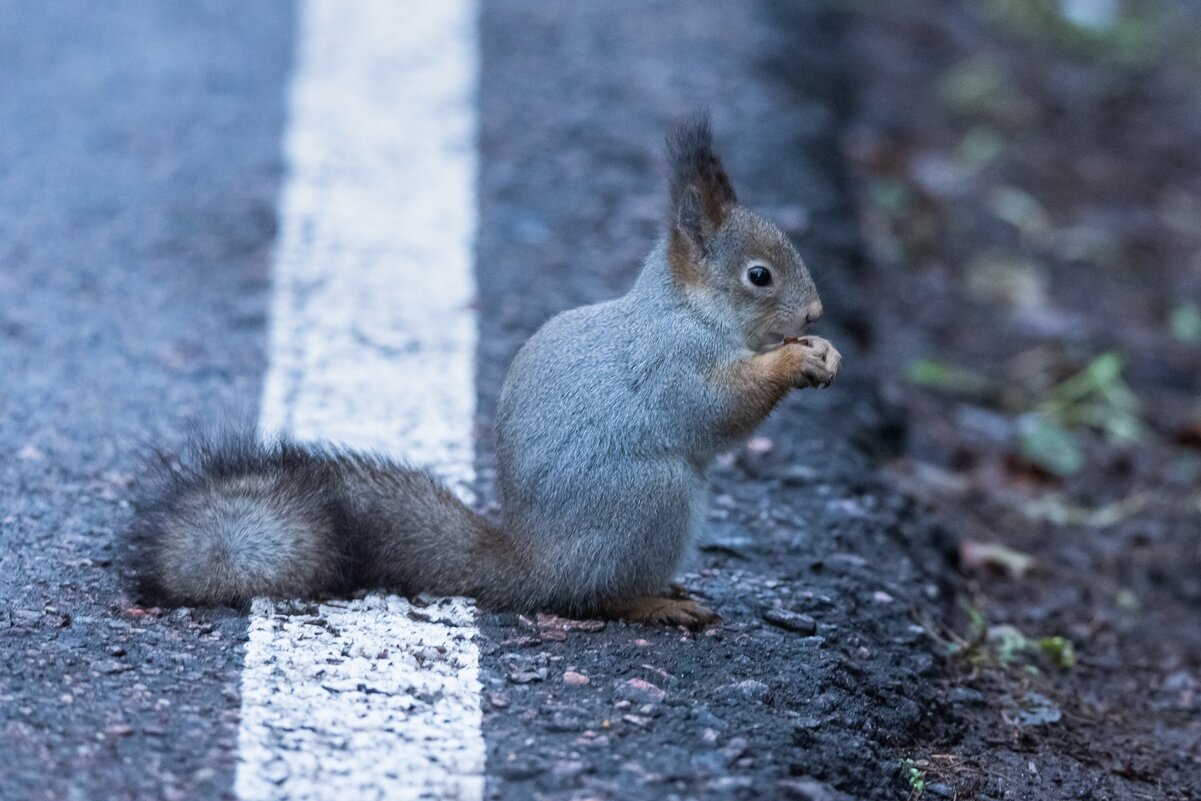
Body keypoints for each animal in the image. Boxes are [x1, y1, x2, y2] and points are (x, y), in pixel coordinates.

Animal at [131, 115, 840, 629]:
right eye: (758, 276)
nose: (814, 311)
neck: (689, 311)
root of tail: (532, 565)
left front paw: (824, 350)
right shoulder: (670, 363)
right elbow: (718, 409)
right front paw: (796, 358)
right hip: (652, 501)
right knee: (592, 598)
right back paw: (654, 603)